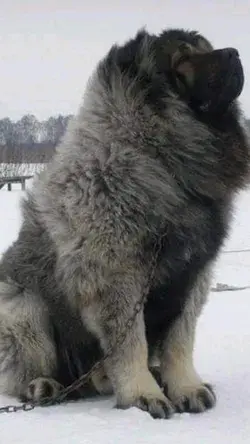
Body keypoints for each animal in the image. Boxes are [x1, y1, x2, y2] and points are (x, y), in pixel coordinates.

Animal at [0, 28, 250, 420]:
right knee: (25, 368)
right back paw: (44, 386)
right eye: (183, 59)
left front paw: (186, 387)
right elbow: (131, 343)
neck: (159, 160)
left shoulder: (193, 276)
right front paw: (143, 395)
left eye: (205, 49)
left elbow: (180, 340)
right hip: (24, 308)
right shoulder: (117, 277)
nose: (235, 53)